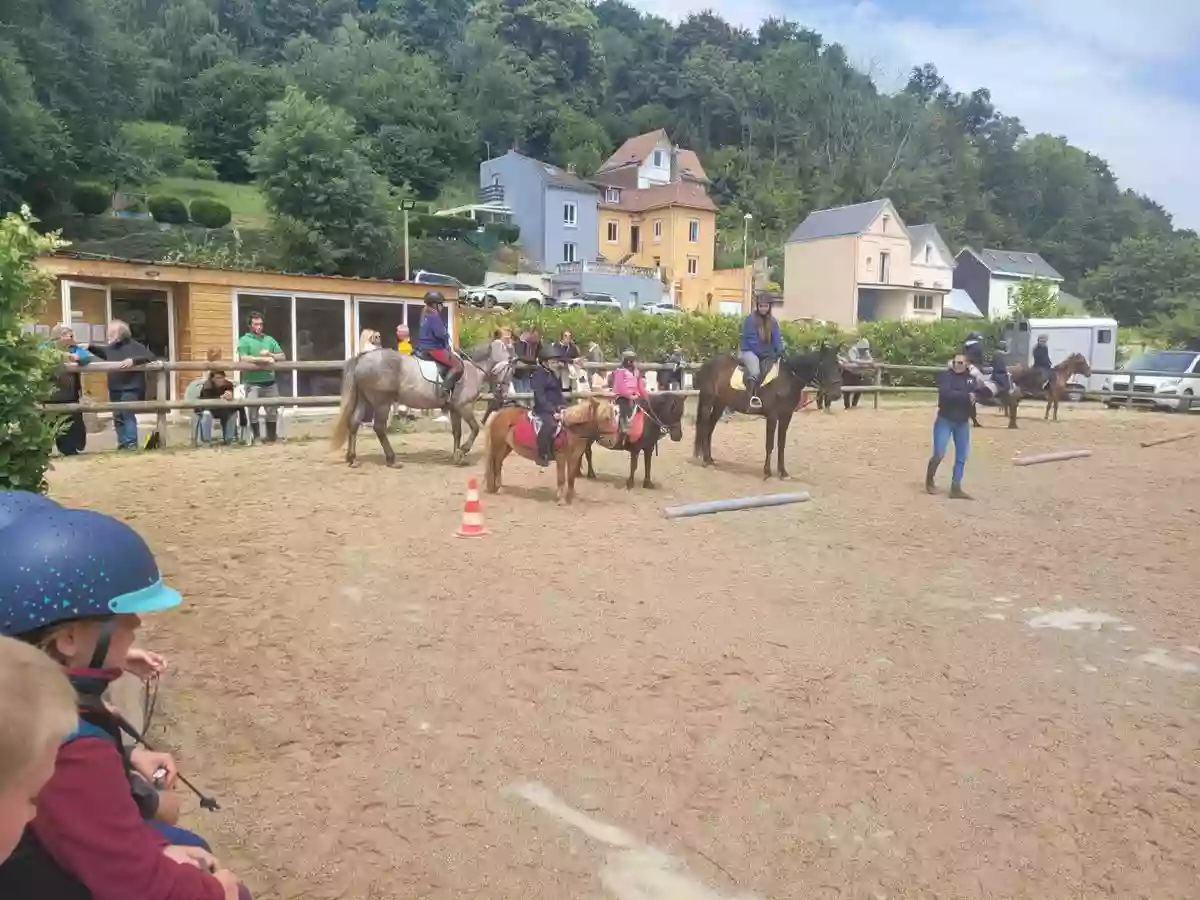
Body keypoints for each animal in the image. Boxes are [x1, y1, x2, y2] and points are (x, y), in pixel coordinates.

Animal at [328, 348, 492, 468]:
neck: (474, 371)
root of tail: (362, 358)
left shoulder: (454, 409)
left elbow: (457, 432)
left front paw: (457, 456)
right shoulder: (464, 407)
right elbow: (475, 428)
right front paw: (463, 450)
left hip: (364, 400)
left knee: (354, 424)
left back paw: (352, 459)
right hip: (382, 403)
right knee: (379, 428)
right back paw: (392, 460)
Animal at [482, 400, 614, 504]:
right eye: (605, 418)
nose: (611, 441)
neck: (570, 429)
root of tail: (498, 413)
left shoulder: (574, 458)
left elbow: (571, 478)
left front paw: (570, 497)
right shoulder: (561, 457)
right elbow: (561, 478)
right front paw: (561, 499)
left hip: (506, 447)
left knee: (498, 464)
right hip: (499, 446)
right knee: (496, 465)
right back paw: (499, 488)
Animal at [696, 345, 844, 482]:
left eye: (838, 366)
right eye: (824, 365)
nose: (836, 394)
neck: (788, 379)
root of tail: (707, 364)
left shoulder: (786, 417)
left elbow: (781, 444)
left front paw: (783, 473)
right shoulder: (772, 416)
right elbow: (769, 444)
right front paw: (767, 472)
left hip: (719, 405)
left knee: (709, 429)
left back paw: (709, 459)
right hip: (707, 402)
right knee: (704, 428)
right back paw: (705, 461)